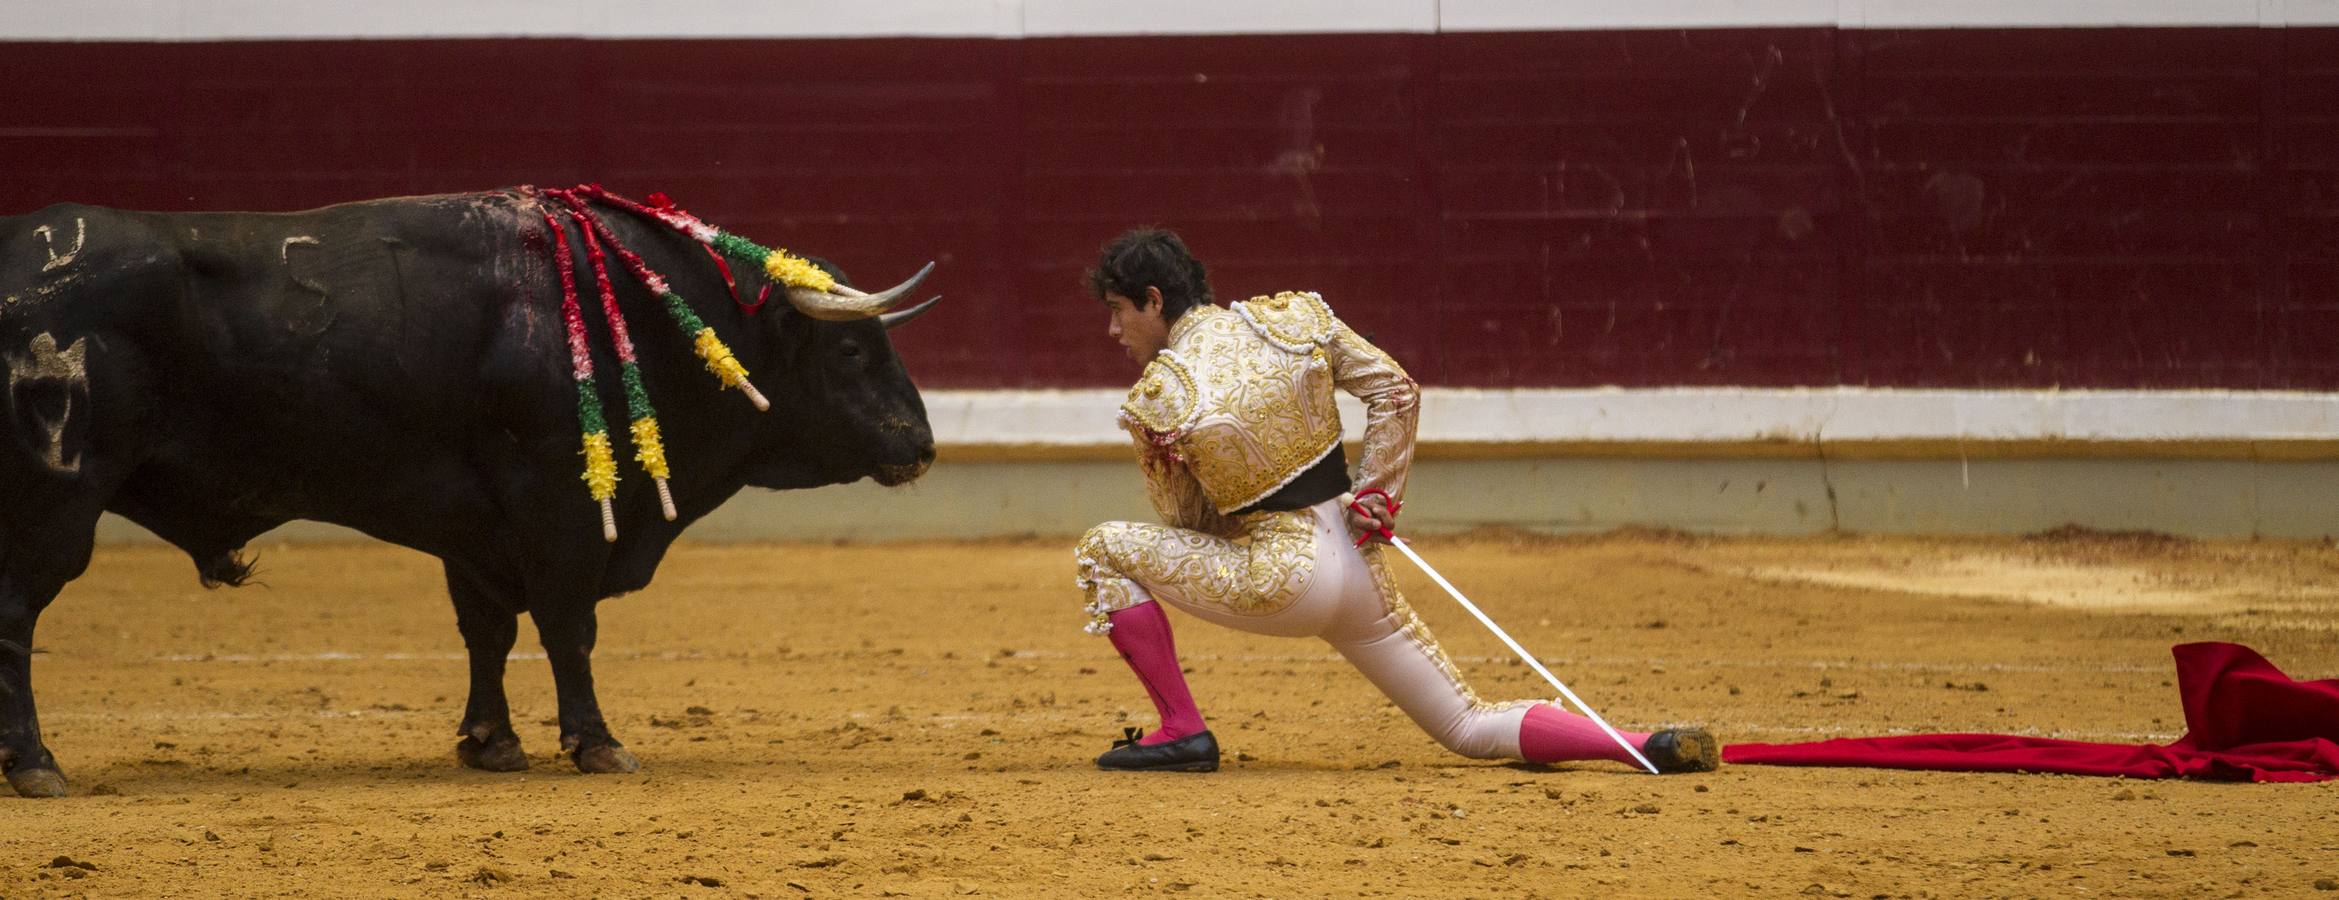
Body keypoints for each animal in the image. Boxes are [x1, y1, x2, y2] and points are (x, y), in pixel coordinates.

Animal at [2, 187, 930, 794]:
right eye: (852, 352)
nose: (921, 445)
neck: (645, 313)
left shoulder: (476, 529)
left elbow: (486, 631)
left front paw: (491, 742)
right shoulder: (559, 517)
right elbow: (568, 631)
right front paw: (598, 745)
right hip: (56, 504)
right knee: (17, 618)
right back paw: (36, 765)